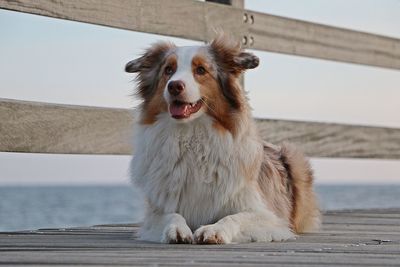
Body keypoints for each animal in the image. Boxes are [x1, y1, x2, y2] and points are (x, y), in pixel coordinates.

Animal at [126, 34, 320, 244]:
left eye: (201, 70)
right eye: (168, 70)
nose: (174, 86)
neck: (192, 137)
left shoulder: (269, 217)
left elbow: (234, 217)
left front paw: (214, 230)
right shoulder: (155, 213)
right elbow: (172, 215)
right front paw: (177, 229)